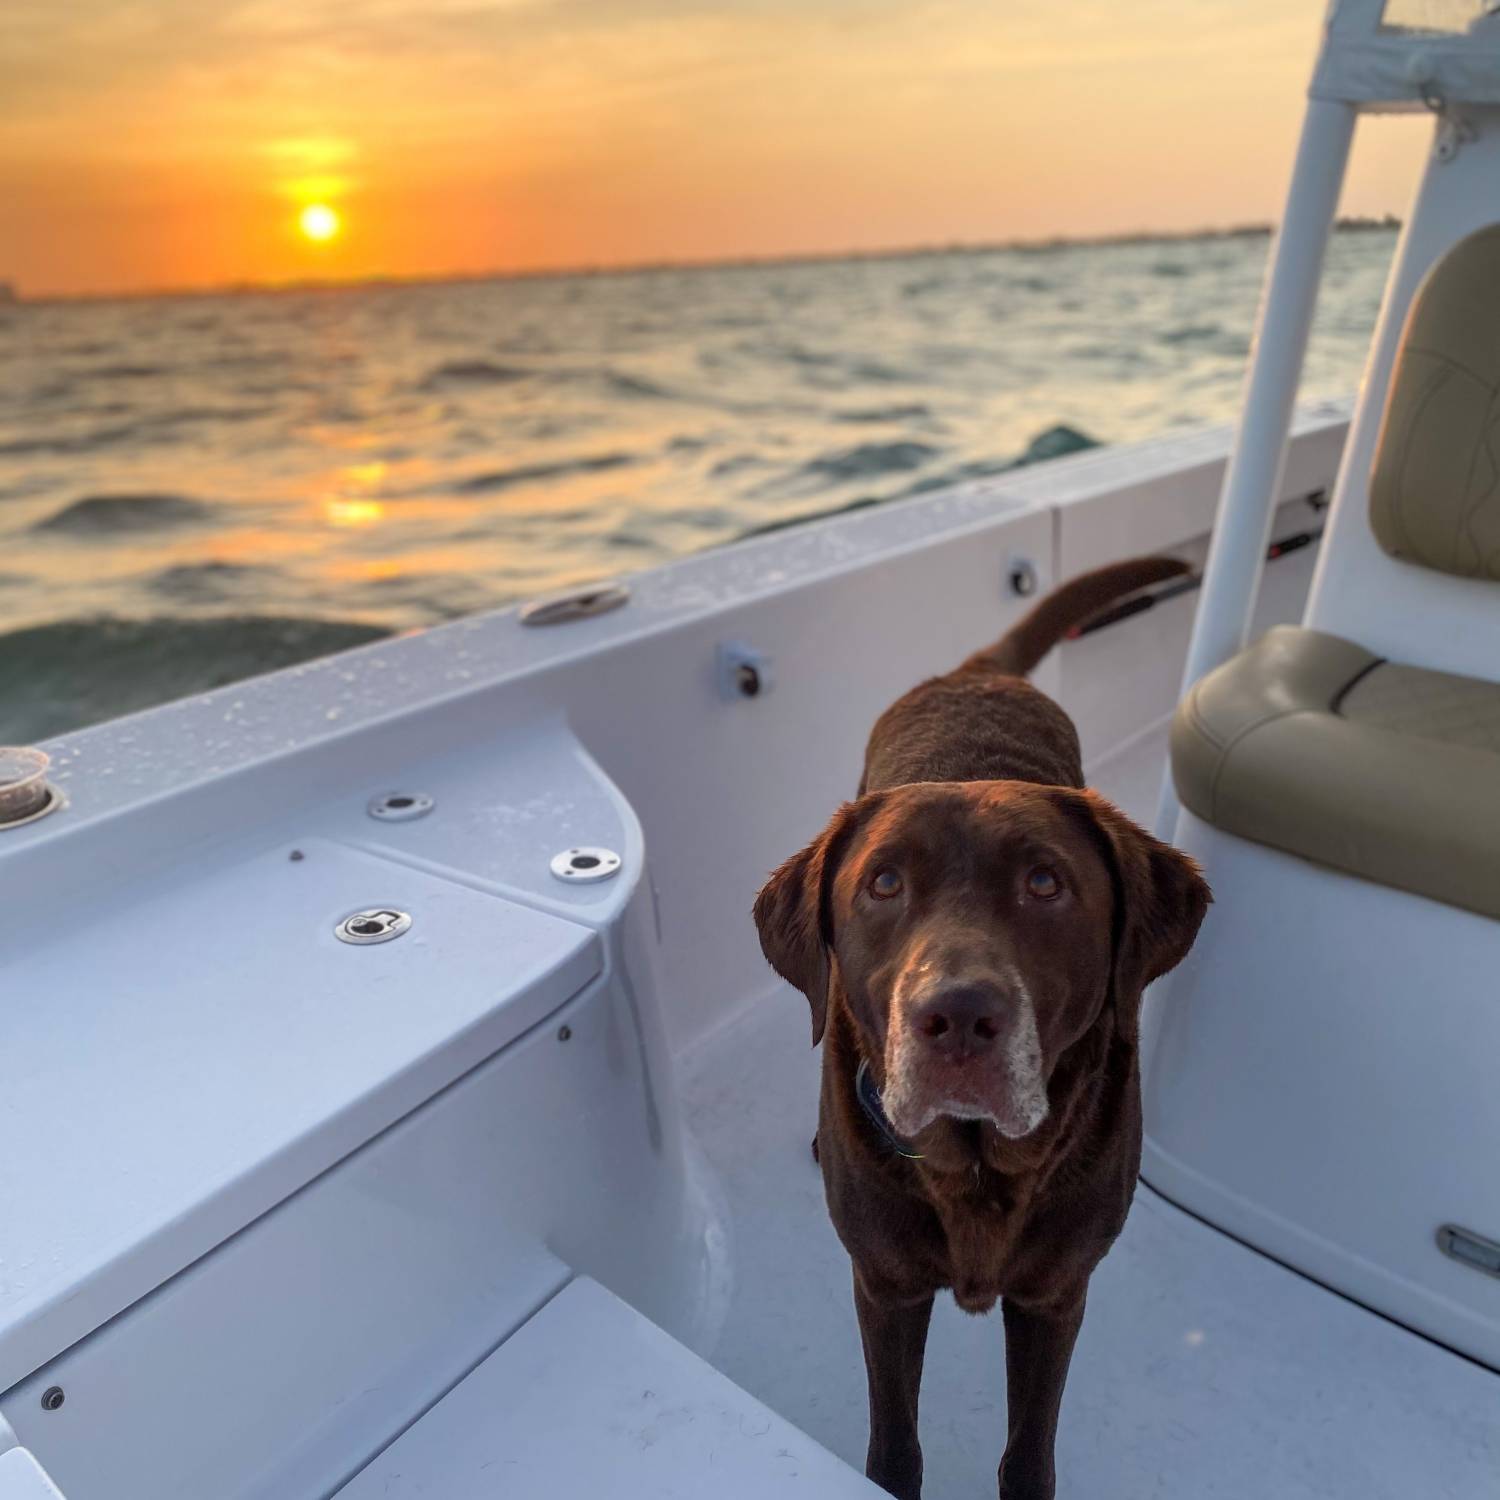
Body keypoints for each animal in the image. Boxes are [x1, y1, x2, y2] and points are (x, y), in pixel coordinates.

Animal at [750, 561, 1206, 1500]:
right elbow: (895, 1443)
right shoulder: (884, 1286)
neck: (978, 1167)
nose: (956, 1016)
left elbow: (1029, 1451)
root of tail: (976, 671)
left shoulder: (1056, 1295)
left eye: (1045, 883)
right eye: (883, 883)